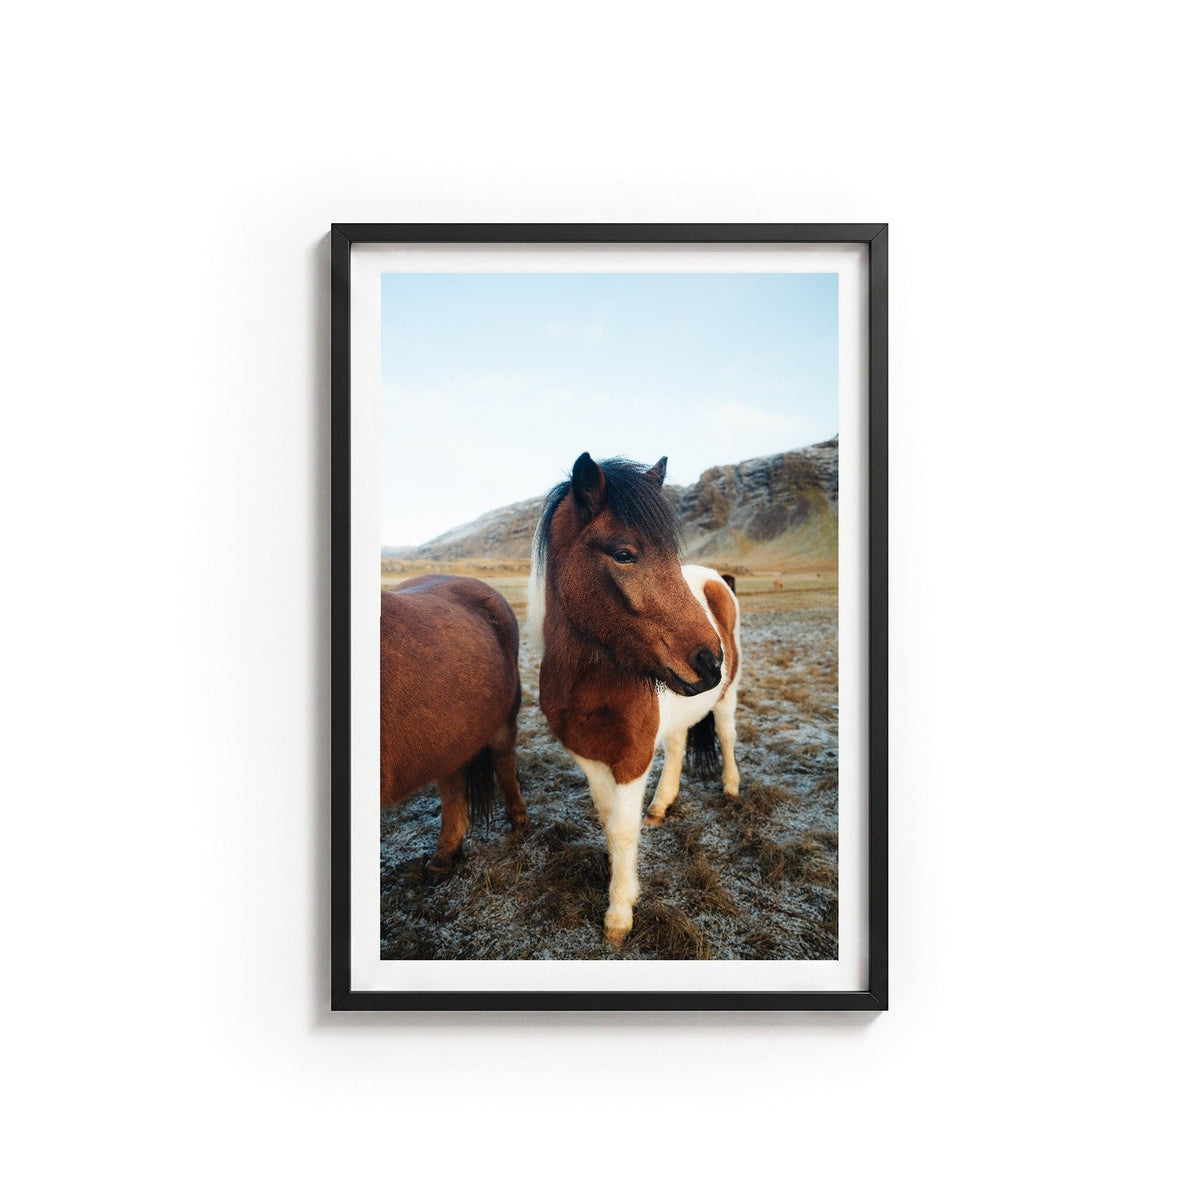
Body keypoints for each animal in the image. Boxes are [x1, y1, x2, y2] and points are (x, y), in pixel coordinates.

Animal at [380, 574, 528, 876]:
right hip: (449, 738)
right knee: (454, 785)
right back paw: (444, 856)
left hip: (503, 722)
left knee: (504, 763)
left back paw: (519, 822)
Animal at [528, 453, 742, 946]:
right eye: (624, 554)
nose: (710, 662)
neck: (590, 683)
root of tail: (717, 579)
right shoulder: (588, 755)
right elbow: (608, 820)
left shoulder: (633, 758)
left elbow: (624, 830)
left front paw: (620, 911)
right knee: (680, 747)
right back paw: (661, 805)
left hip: (727, 698)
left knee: (726, 735)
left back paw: (731, 787)